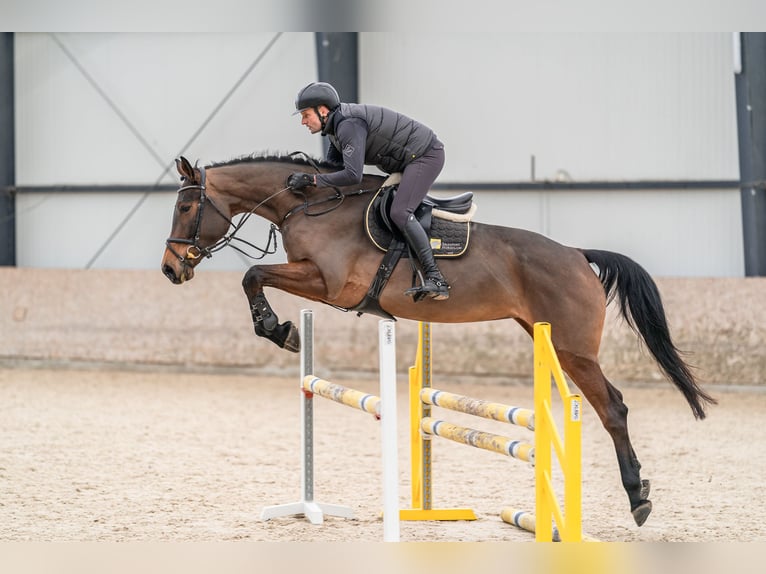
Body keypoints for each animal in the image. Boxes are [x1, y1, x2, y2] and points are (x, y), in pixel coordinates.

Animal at [161, 153, 716, 528]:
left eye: (187, 206)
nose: (170, 269)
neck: (310, 206)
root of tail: (577, 255)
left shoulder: (329, 284)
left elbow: (253, 274)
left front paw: (278, 331)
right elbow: (254, 276)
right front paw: (280, 330)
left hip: (571, 350)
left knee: (613, 408)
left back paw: (638, 498)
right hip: (550, 341)